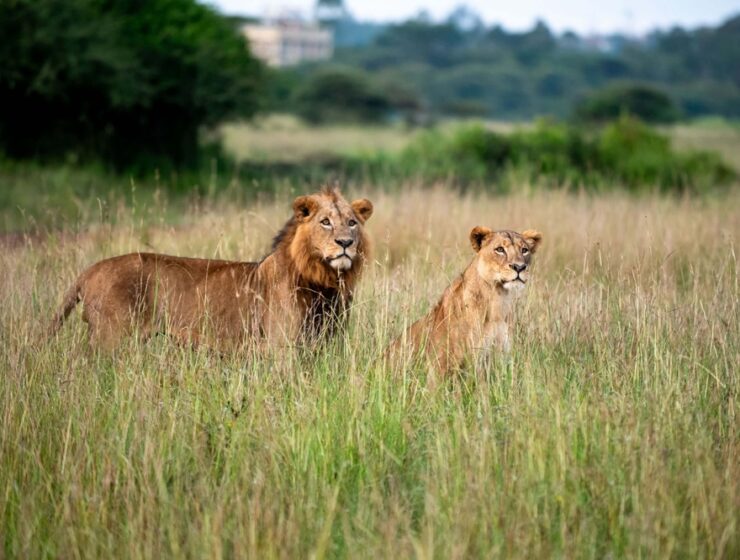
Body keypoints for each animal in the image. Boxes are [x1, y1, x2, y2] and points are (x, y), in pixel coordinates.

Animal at [50, 187, 373, 350]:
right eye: (325, 222)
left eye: (352, 223)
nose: (345, 243)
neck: (324, 282)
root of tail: (90, 270)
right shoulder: (281, 348)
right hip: (111, 338)